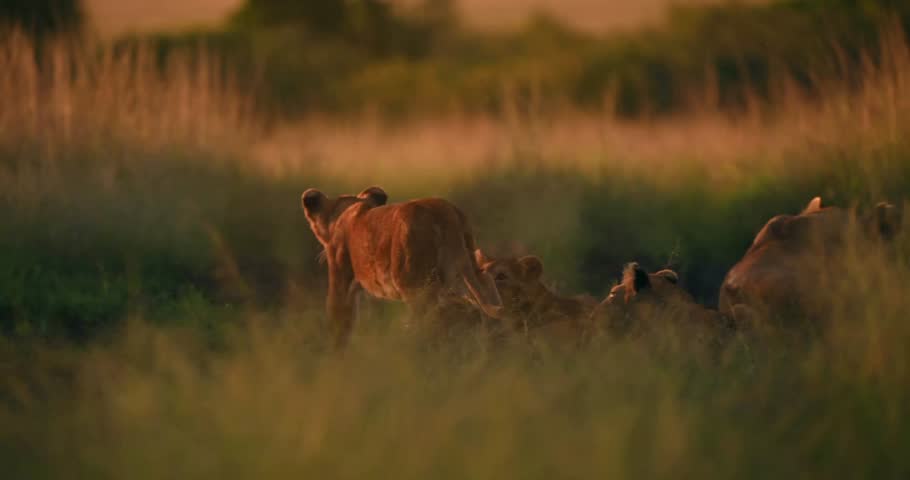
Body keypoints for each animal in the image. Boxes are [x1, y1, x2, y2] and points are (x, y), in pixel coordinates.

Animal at [301, 186, 503, 349]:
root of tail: (444, 210)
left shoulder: (340, 275)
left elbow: (340, 318)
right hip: (466, 269)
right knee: (487, 289)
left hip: (416, 286)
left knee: (432, 322)